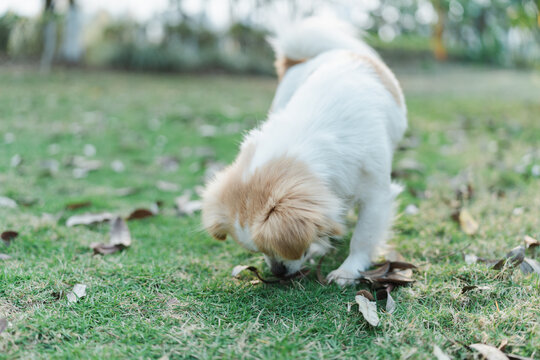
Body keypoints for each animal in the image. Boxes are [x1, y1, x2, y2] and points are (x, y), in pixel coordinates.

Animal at [201, 17, 404, 286]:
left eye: (280, 250)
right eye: (261, 251)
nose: (277, 272)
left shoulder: (376, 195)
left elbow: (363, 237)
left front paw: (348, 270)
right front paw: (321, 242)